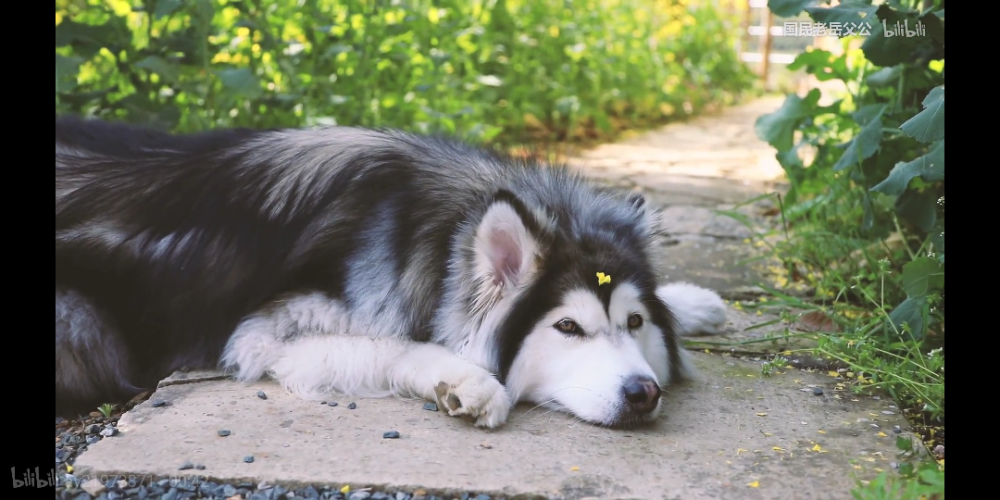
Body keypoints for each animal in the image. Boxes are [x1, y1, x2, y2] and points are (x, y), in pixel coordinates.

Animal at [56, 115, 728, 428]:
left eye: (635, 322)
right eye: (568, 328)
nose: (644, 393)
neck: (440, 229)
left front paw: (691, 300)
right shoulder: (263, 334)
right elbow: (396, 345)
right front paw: (468, 381)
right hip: (83, 323)